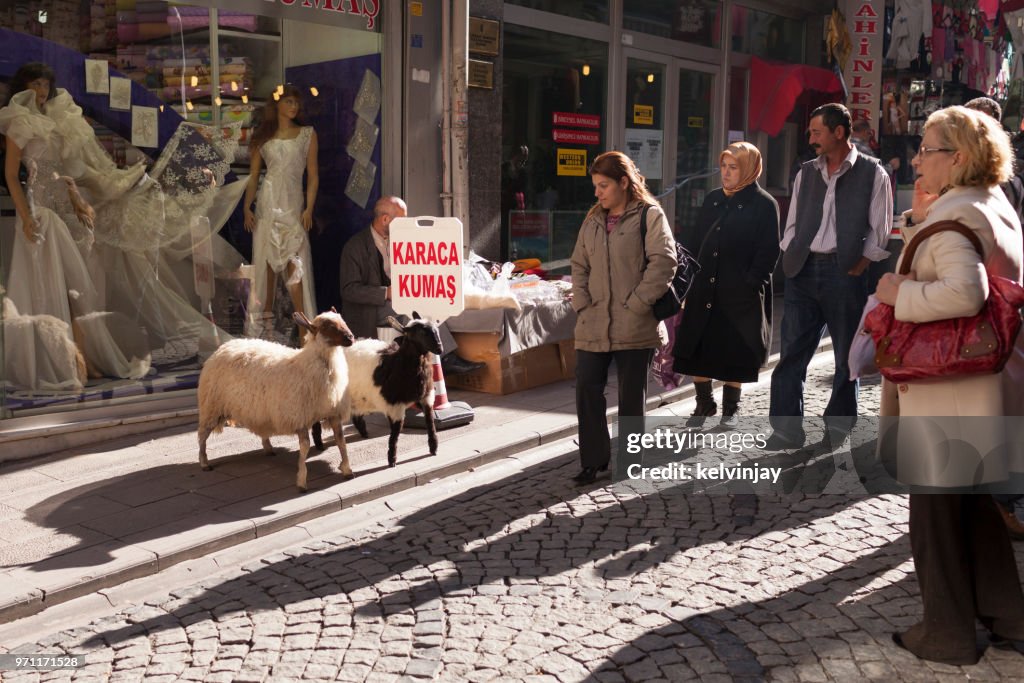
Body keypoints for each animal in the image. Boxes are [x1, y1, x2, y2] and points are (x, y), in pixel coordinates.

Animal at [196, 309, 356, 491]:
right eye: (328, 326)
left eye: (342, 320)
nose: (351, 337)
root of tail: (224, 346)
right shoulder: (299, 416)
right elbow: (305, 446)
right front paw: (301, 481)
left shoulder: (333, 412)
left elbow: (341, 441)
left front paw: (347, 470)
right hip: (211, 407)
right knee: (202, 435)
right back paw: (204, 462)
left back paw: (268, 448)